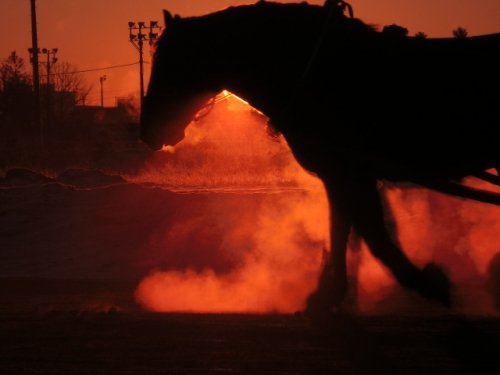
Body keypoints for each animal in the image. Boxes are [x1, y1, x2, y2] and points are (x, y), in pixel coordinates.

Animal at [140, 0, 500, 314]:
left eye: (171, 62)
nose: (147, 130)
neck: (313, 72)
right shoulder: (338, 174)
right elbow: (341, 229)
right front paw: (329, 294)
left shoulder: (351, 172)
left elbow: (371, 234)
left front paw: (430, 284)